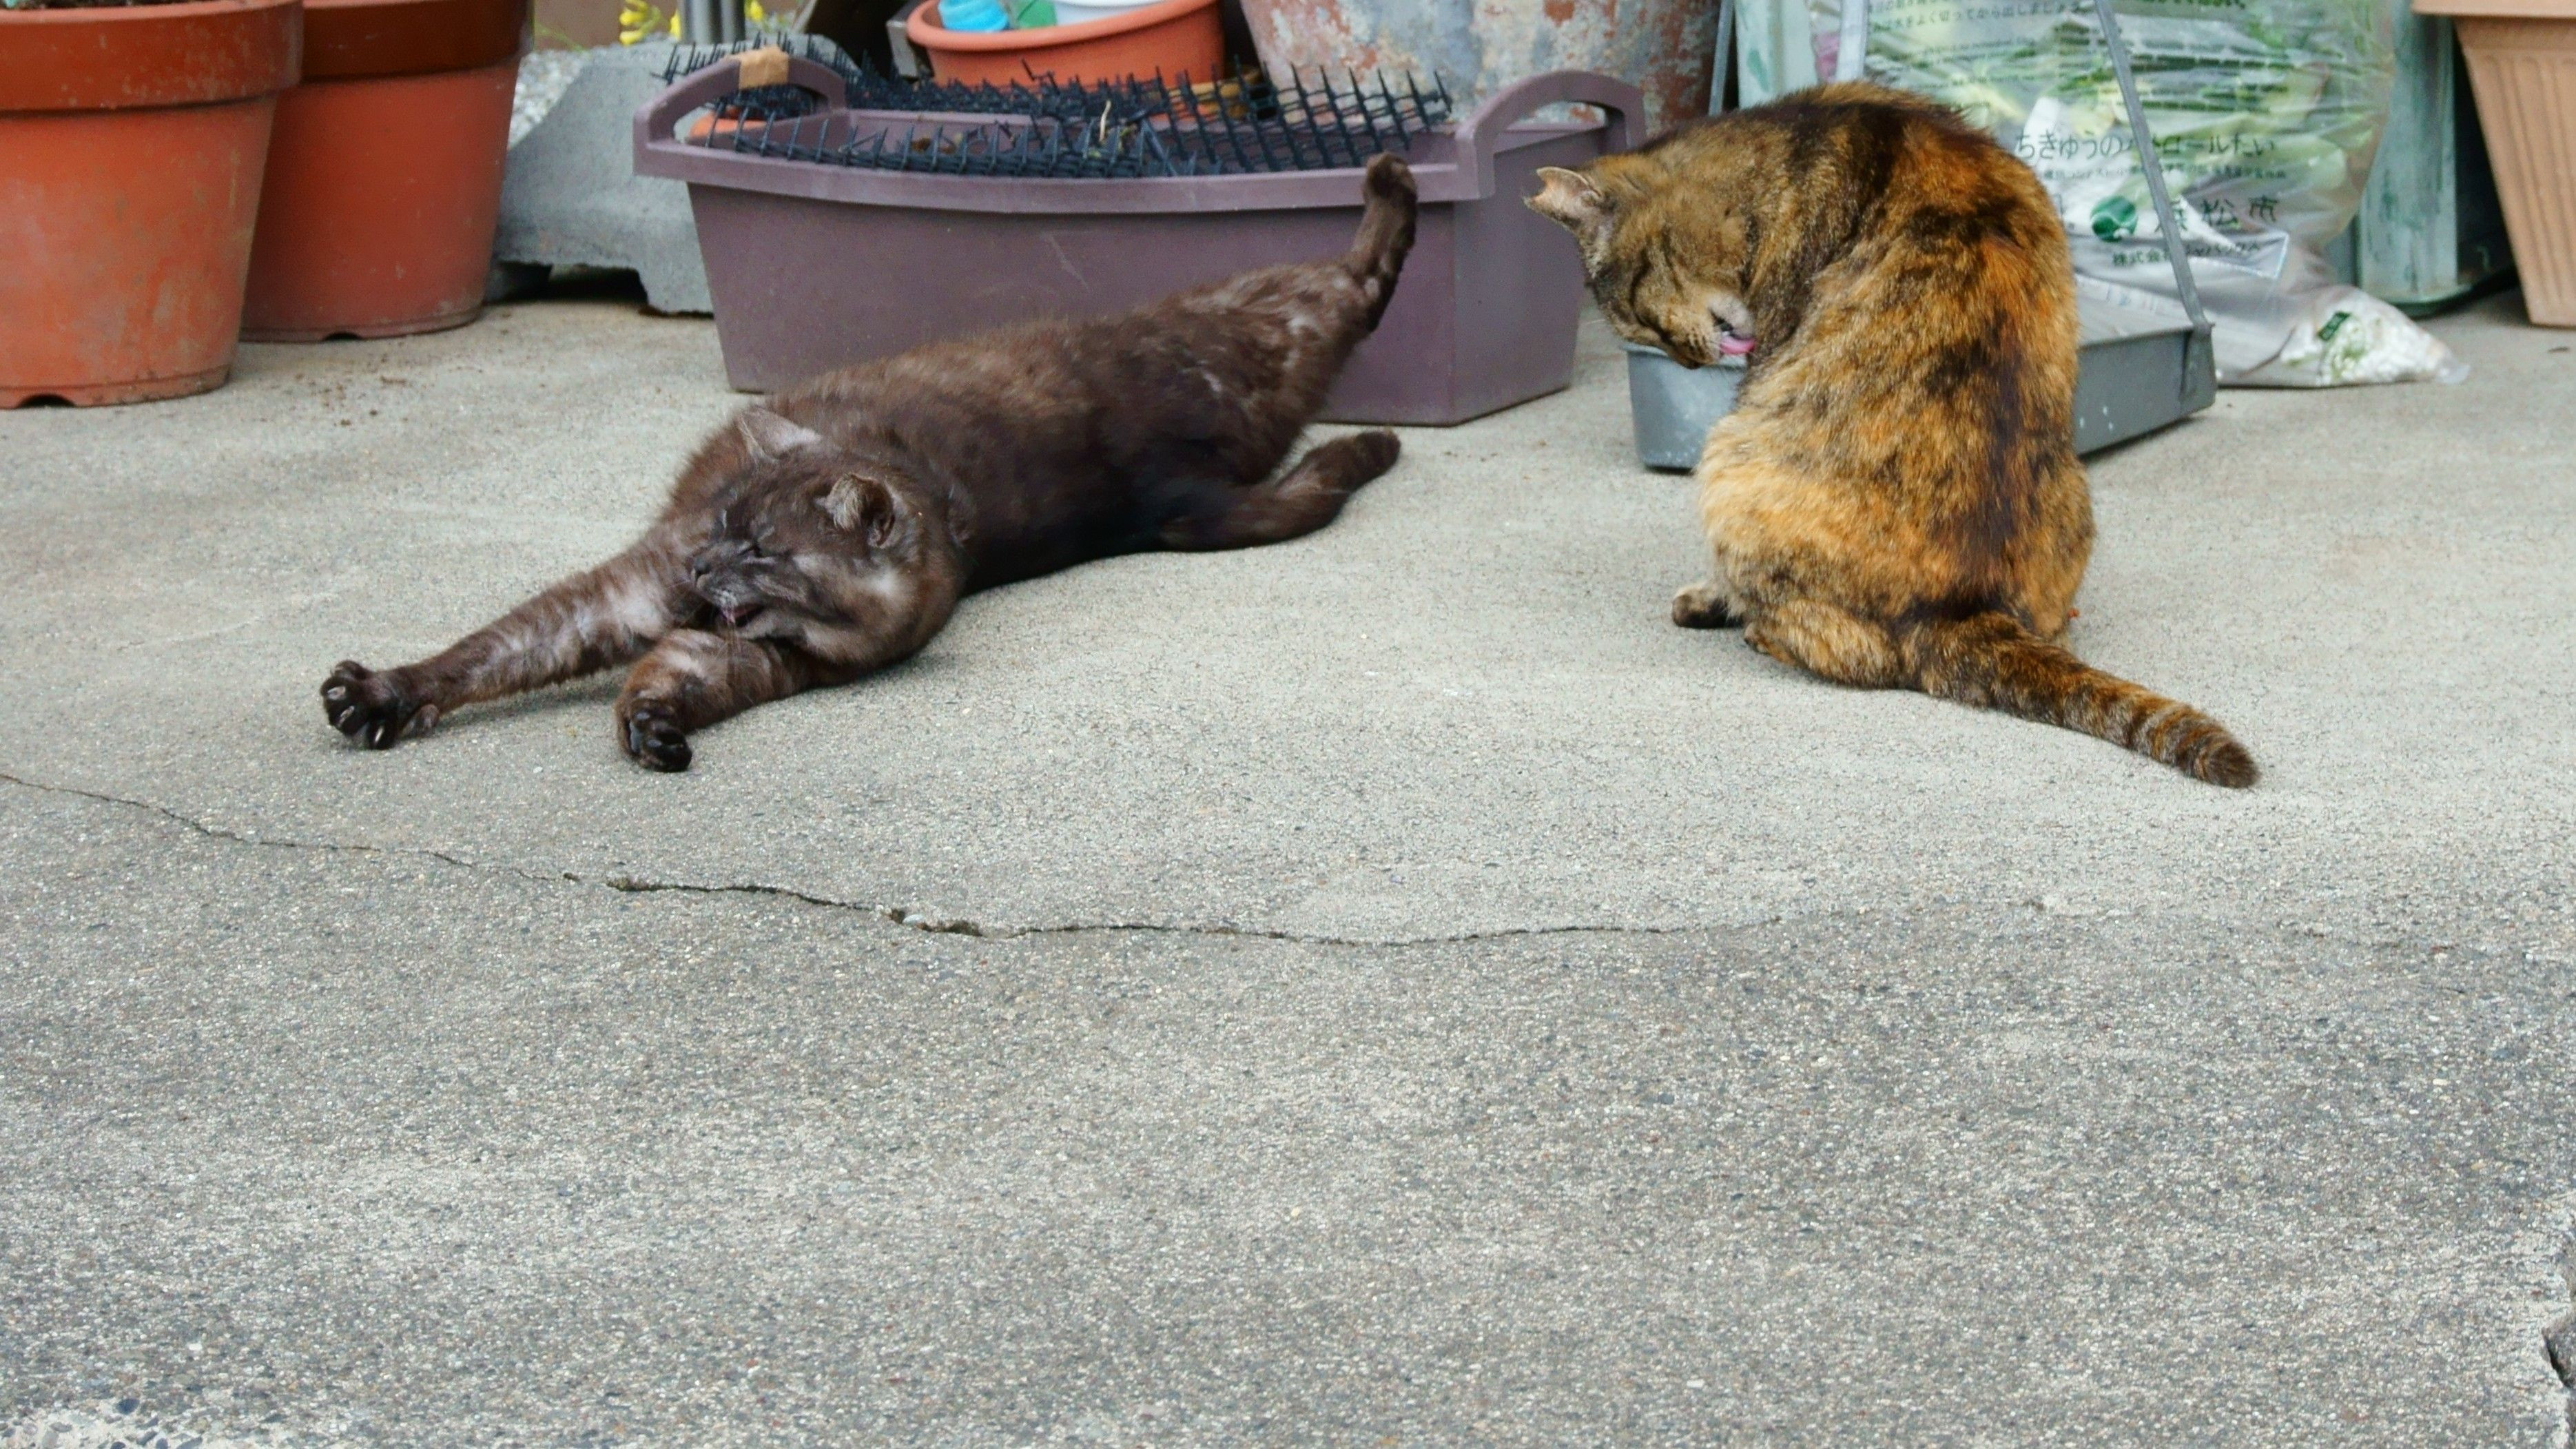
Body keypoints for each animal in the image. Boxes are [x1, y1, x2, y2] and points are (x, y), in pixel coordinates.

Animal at [323, 154, 1418, 772]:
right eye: (719, 525)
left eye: (762, 548)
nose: (701, 569)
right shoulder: (653, 598)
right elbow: (497, 650)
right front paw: (378, 695)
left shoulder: (752, 655)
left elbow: (649, 670)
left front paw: (650, 725)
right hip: (1239, 383)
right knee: (1343, 325)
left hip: (1245, 384)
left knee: (1358, 290)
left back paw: (1391, 209)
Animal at [1530, 83, 2257, 787]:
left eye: (1636, 320)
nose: (1686, 363)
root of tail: (1965, 610)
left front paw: (1716, 601)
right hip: (2074, 490)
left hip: (1730, 461)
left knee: (1856, 655)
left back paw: (1751, 627)